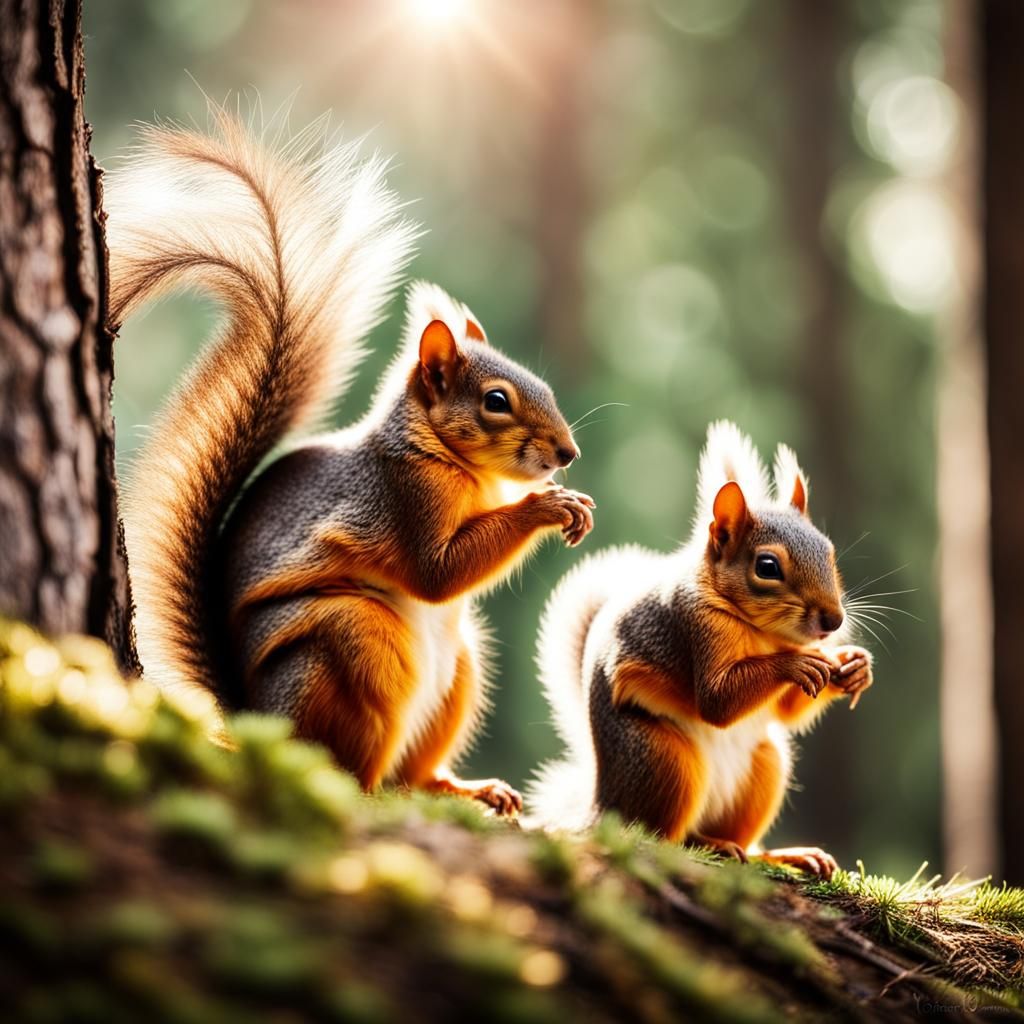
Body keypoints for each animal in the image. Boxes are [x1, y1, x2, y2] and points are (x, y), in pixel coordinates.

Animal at [105, 109, 595, 814]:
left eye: (544, 386)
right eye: (496, 401)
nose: (568, 453)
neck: (461, 469)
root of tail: (258, 721)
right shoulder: (401, 496)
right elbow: (437, 572)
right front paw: (549, 506)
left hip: (461, 667)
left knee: (414, 773)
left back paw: (464, 786)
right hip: (351, 644)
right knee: (352, 766)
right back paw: (354, 787)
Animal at [527, 421, 872, 877]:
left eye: (829, 553)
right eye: (767, 567)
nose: (833, 621)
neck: (763, 633)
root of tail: (605, 804)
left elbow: (785, 712)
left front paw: (853, 665)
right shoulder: (697, 627)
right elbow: (717, 701)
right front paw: (796, 663)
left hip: (766, 765)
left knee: (741, 833)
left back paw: (776, 853)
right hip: (663, 760)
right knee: (660, 836)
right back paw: (707, 843)